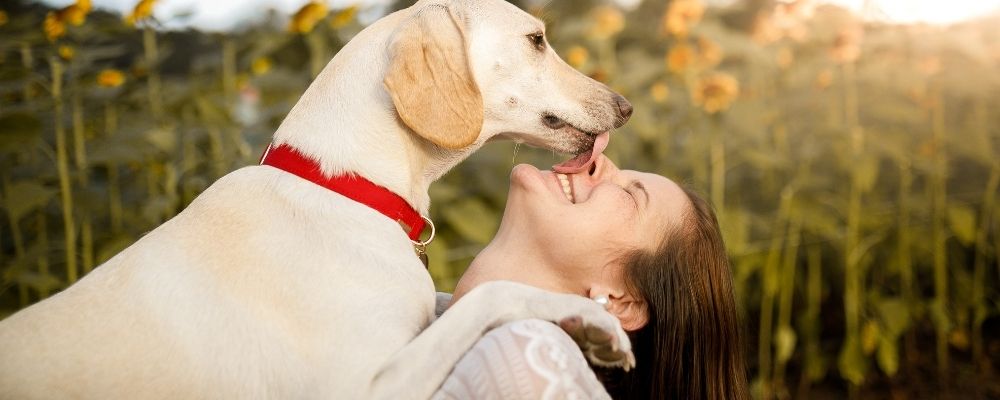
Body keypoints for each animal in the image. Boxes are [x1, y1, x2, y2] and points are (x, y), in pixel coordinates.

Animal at [1, 1, 632, 398]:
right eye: (537, 40)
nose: (626, 107)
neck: (345, 187)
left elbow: (466, 296)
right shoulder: (368, 385)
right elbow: (489, 295)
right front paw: (595, 322)